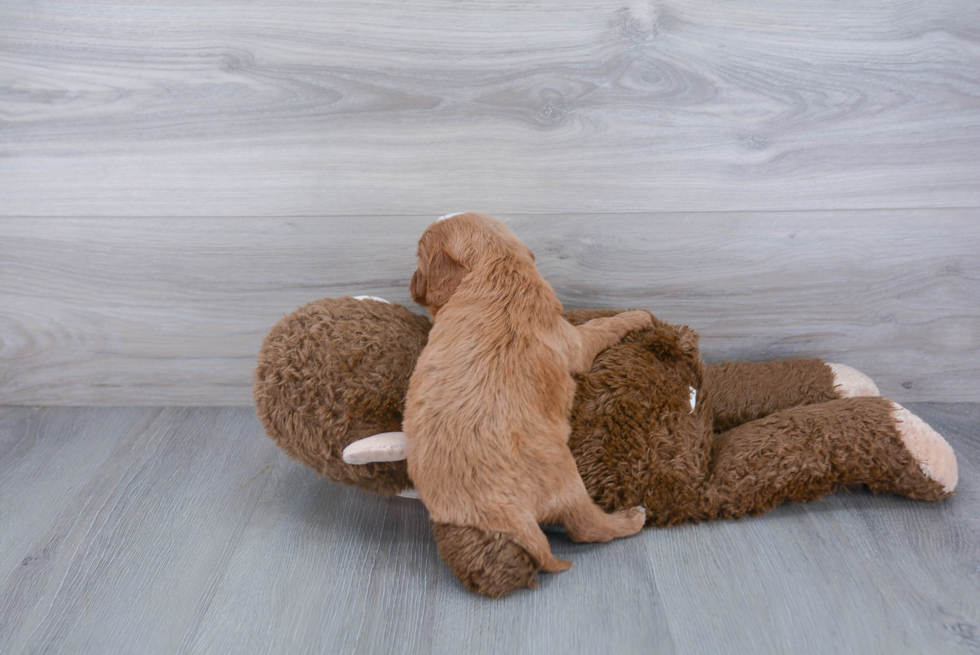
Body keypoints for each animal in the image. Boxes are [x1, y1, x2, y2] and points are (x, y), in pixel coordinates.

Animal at [402, 215, 656, 576]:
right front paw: (637, 316)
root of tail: (510, 515)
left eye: (419, 259)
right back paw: (632, 518)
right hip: (567, 478)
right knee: (587, 528)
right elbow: (601, 325)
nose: (411, 283)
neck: (497, 265)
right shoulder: (574, 342)